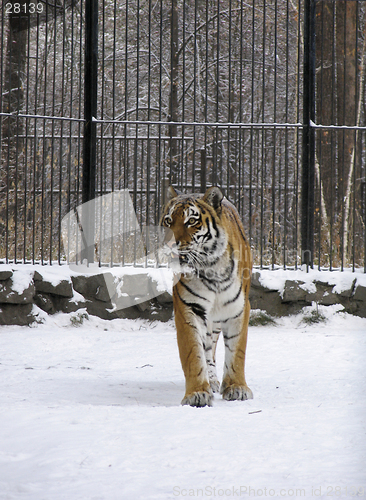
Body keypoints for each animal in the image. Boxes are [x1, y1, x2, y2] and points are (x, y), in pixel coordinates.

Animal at [160, 186, 252, 408]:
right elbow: (193, 353)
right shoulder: (188, 307)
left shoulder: (238, 309)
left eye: (191, 221)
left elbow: (237, 352)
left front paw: (237, 388)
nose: (170, 245)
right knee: (207, 350)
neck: (212, 269)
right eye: (168, 221)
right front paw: (197, 393)